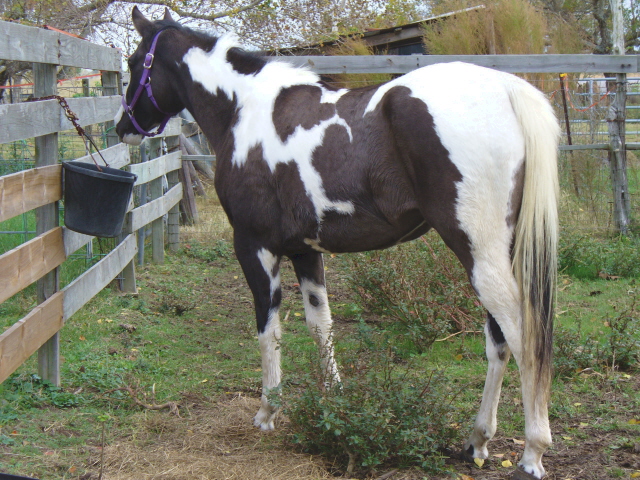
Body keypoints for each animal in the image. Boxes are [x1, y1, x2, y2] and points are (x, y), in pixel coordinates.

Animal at [116, 7, 559, 479]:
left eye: (135, 62)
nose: (124, 128)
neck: (244, 108)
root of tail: (506, 89)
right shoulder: (305, 250)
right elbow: (320, 325)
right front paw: (336, 404)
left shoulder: (254, 247)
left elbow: (268, 329)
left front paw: (268, 412)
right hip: (496, 252)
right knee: (498, 340)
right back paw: (478, 440)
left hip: (477, 250)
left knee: (522, 337)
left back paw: (532, 453)